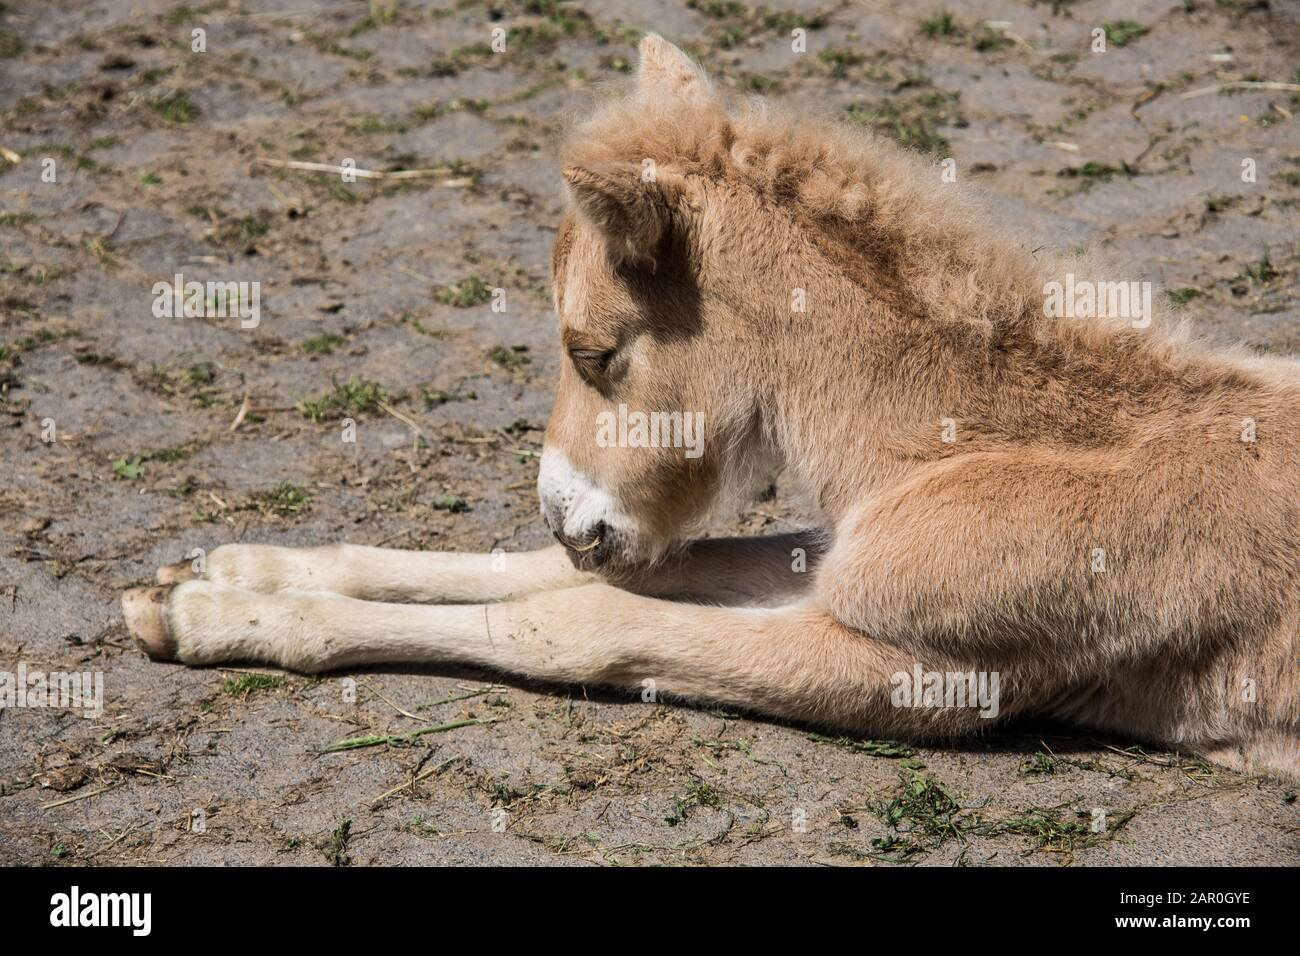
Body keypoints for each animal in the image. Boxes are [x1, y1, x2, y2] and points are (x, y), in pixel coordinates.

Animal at [124, 39, 1300, 785]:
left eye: (595, 350)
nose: (566, 513)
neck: (960, 452)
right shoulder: (838, 568)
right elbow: (568, 577)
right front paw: (219, 579)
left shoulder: (932, 670)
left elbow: (580, 622)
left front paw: (222, 614)